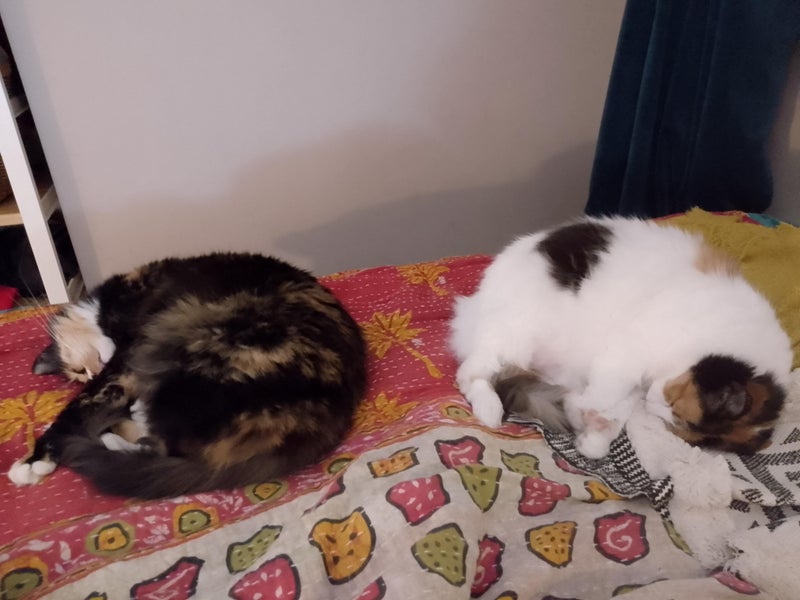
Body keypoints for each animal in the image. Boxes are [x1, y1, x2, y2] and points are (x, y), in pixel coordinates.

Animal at [8, 252, 367, 498]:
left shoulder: (122, 361)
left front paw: (31, 462)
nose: (90, 370)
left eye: (80, 370)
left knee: (165, 448)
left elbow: (80, 406)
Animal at [450, 217, 792, 459]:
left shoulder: (632, 380)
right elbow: (602, 395)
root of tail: (474, 306)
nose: (655, 403)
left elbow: (613, 414)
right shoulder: (628, 353)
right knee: (471, 373)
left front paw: (591, 436)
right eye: (674, 405)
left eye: (673, 423)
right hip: (515, 335)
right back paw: (490, 413)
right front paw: (584, 414)